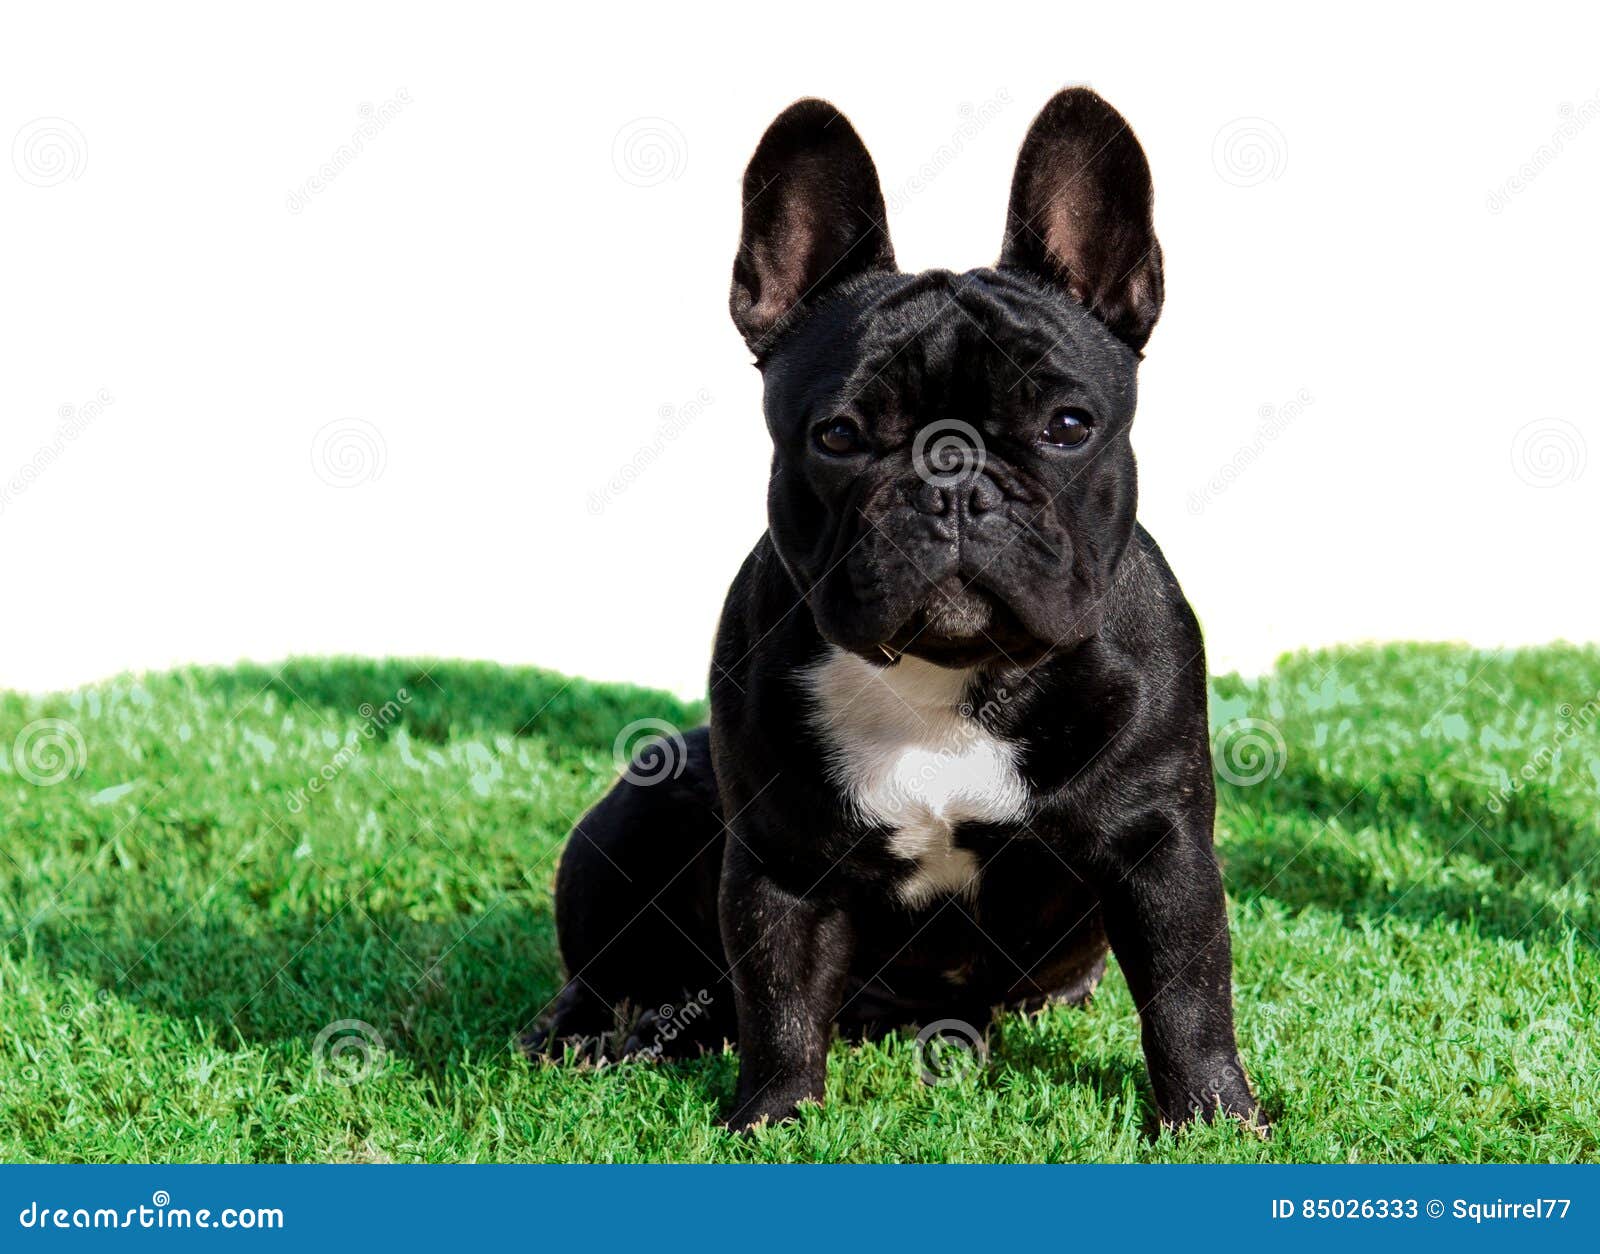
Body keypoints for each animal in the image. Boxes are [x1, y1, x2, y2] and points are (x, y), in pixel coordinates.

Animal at [544, 87, 1267, 1138]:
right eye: (840, 436)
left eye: (1068, 426)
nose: (953, 472)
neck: (949, 676)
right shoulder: (780, 859)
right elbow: (778, 998)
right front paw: (771, 1121)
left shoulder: (1158, 846)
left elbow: (1187, 991)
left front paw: (1212, 1117)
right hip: (641, 803)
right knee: (617, 973)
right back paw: (585, 1033)